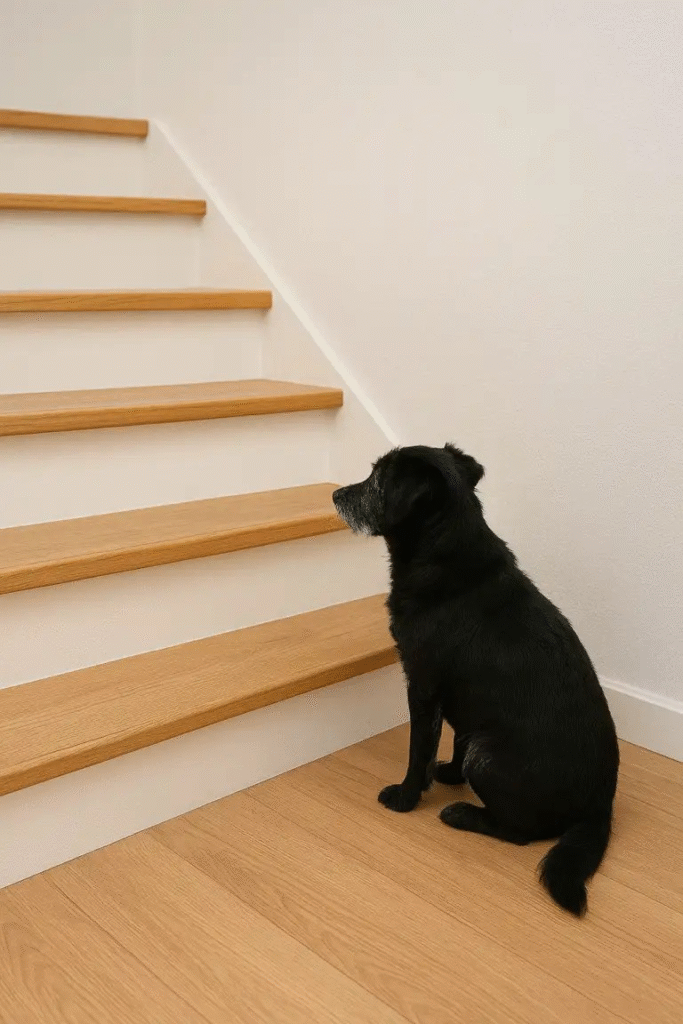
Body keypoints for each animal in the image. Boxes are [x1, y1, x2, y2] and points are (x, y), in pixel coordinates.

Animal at [333, 444, 619, 917]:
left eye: (377, 480)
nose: (335, 494)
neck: (443, 556)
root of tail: (600, 807)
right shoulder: (460, 704)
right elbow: (453, 740)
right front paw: (447, 773)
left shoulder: (422, 686)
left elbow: (419, 751)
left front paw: (406, 798)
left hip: (487, 757)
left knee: (521, 833)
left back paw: (462, 814)